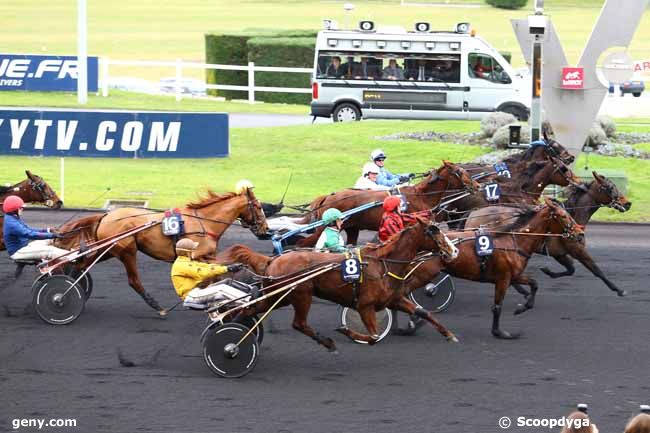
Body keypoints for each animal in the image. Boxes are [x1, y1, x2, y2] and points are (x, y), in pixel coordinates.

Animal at [53, 184, 268, 312]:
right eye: (258, 207)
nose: (265, 229)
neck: (204, 222)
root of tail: (106, 215)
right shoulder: (197, 256)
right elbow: (209, 277)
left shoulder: (208, 256)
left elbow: (215, 275)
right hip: (127, 250)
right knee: (133, 280)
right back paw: (156, 306)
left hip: (108, 250)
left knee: (81, 265)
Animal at [215, 219, 458, 352]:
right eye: (433, 231)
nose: (454, 250)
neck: (382, 264)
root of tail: (272, 260)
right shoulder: (365, 306)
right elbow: (374, 336)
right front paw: (346, 331)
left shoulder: (394, 299)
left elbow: (424, 312)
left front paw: (450, 335)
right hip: (300, 294)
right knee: (298, 323)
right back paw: (327, 343)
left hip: (277, 296)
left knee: (250, 309)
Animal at [294, 159, 476, 246]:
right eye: (460, 171)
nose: (477, 185)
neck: (421, 196)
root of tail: (328, 197)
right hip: (326, 228)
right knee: (303, 243)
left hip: (352, 228)